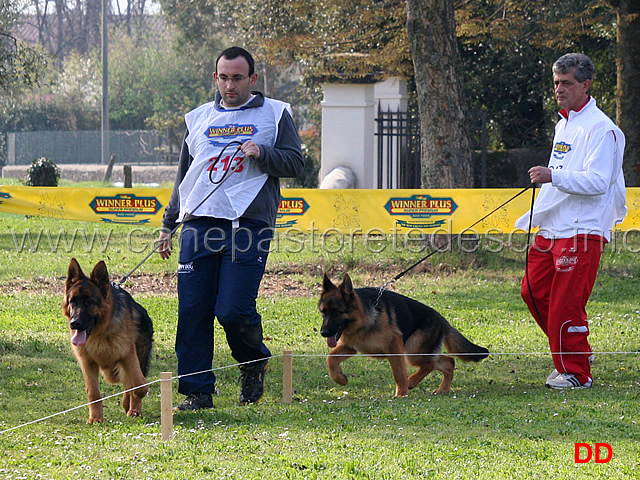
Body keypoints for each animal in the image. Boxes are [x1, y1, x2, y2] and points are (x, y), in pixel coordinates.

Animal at [62, 258, 154, 424]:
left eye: (89, 302)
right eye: (73, 301)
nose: (74, 323)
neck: (100, 333)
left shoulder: (128, 355)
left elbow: (139, 385)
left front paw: (132, 402)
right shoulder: (87, 363)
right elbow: (93, 393)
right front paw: (95, 418)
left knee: (131, 382)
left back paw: (134, 409)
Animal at [320, 274, 490, 398]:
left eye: (337, 312)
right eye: (323, 312)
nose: (323, 333)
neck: (363, 318)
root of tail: (442, 320)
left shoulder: (394, 346)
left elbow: (399, 373)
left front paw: (401, 394)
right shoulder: (350, 347)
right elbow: (330, 358)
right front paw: (339, 378)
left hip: (413, 351)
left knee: (431, 364)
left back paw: (411, 381)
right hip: (418, 351)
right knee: (448, 362)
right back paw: (443, 389)